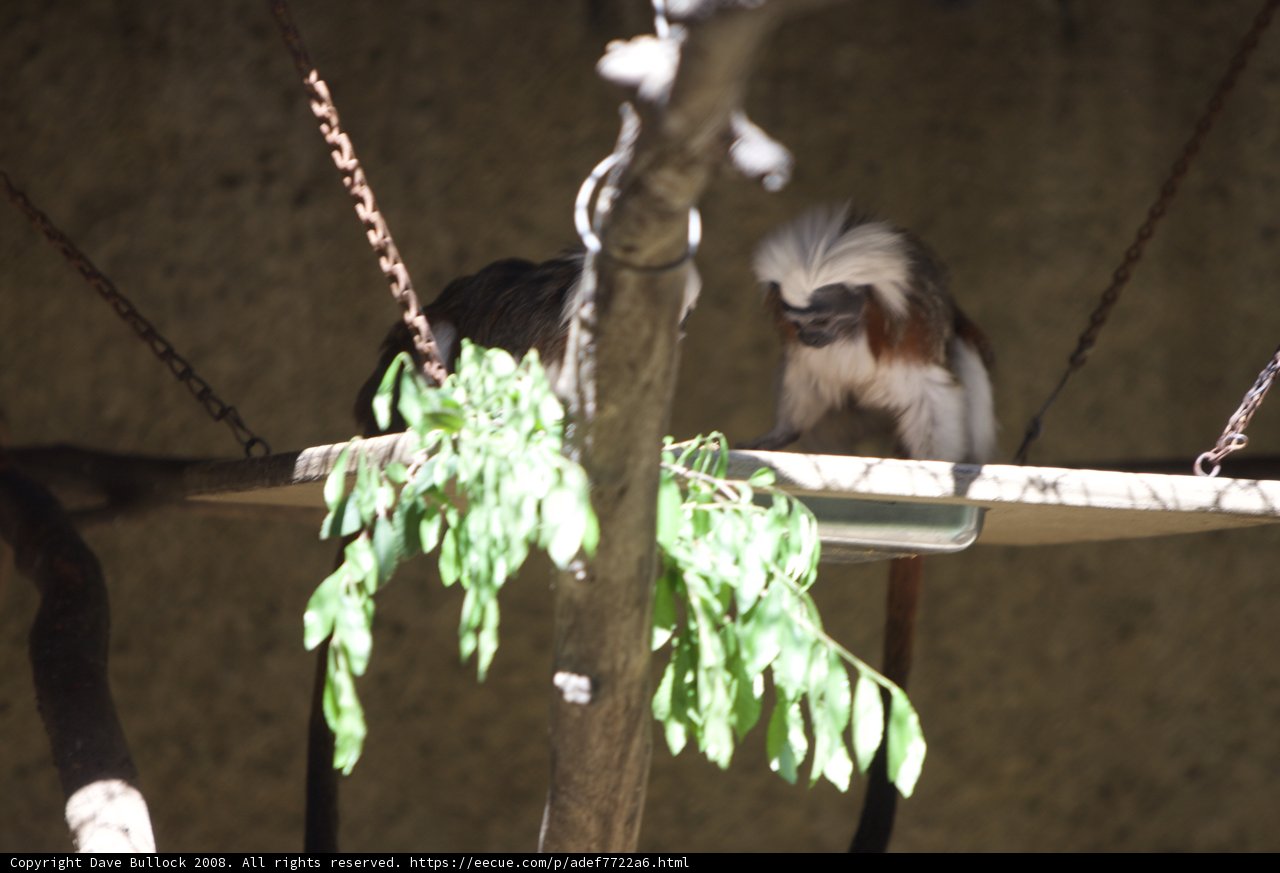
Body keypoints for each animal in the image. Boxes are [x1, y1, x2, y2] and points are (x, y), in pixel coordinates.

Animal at [741, 204, 996, 852]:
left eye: (825, 316)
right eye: (798, 319)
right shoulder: (808, 358)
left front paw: (935, 467)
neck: (851, 334)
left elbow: (935, 393)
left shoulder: (908, 339)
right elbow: (806, 390)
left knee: (966, 353)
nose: (810, 335)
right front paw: (775, 438)